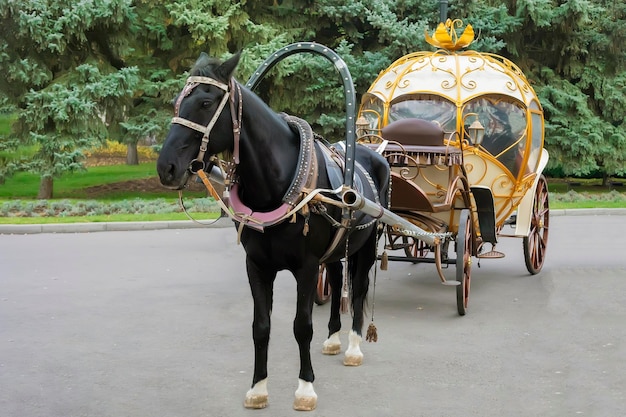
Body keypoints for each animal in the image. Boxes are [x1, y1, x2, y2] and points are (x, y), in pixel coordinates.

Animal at [156, 52, 388, 410]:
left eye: (206, 103)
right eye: (176, 102)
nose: (166, 167)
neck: (277, 183)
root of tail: (370, 151)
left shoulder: (306, 267)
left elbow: (302, 326)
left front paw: (305, 388)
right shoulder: (257, 266)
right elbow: (260, 327)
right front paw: (258, 388)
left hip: (366, 244)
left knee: (359, 289)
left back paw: (352, 346)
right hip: (335, 249)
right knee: (337, 282)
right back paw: (334, 339)